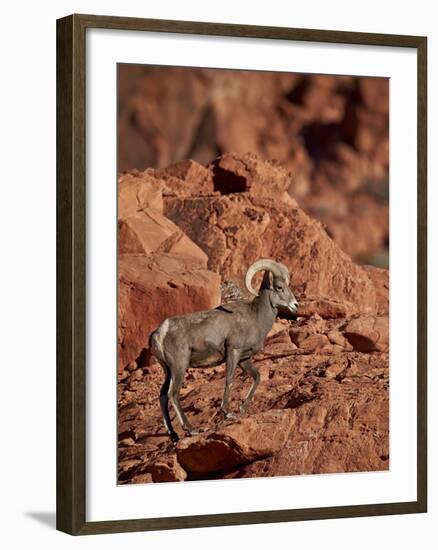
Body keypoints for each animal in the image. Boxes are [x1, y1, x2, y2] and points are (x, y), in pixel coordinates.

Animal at [150, 260, 298, 444]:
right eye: (279, 287)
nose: (295, 305)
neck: (256, 317)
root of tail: (159, 333)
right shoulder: (233, 352)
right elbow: (229, 379)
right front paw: (227, 412)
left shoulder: (244, 359)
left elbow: (257, 377)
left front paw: (242, 408)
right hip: (179, 366)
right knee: (173, 394)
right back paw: (191, 429)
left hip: (168, 370)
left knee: (163, 396)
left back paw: (174, 435)